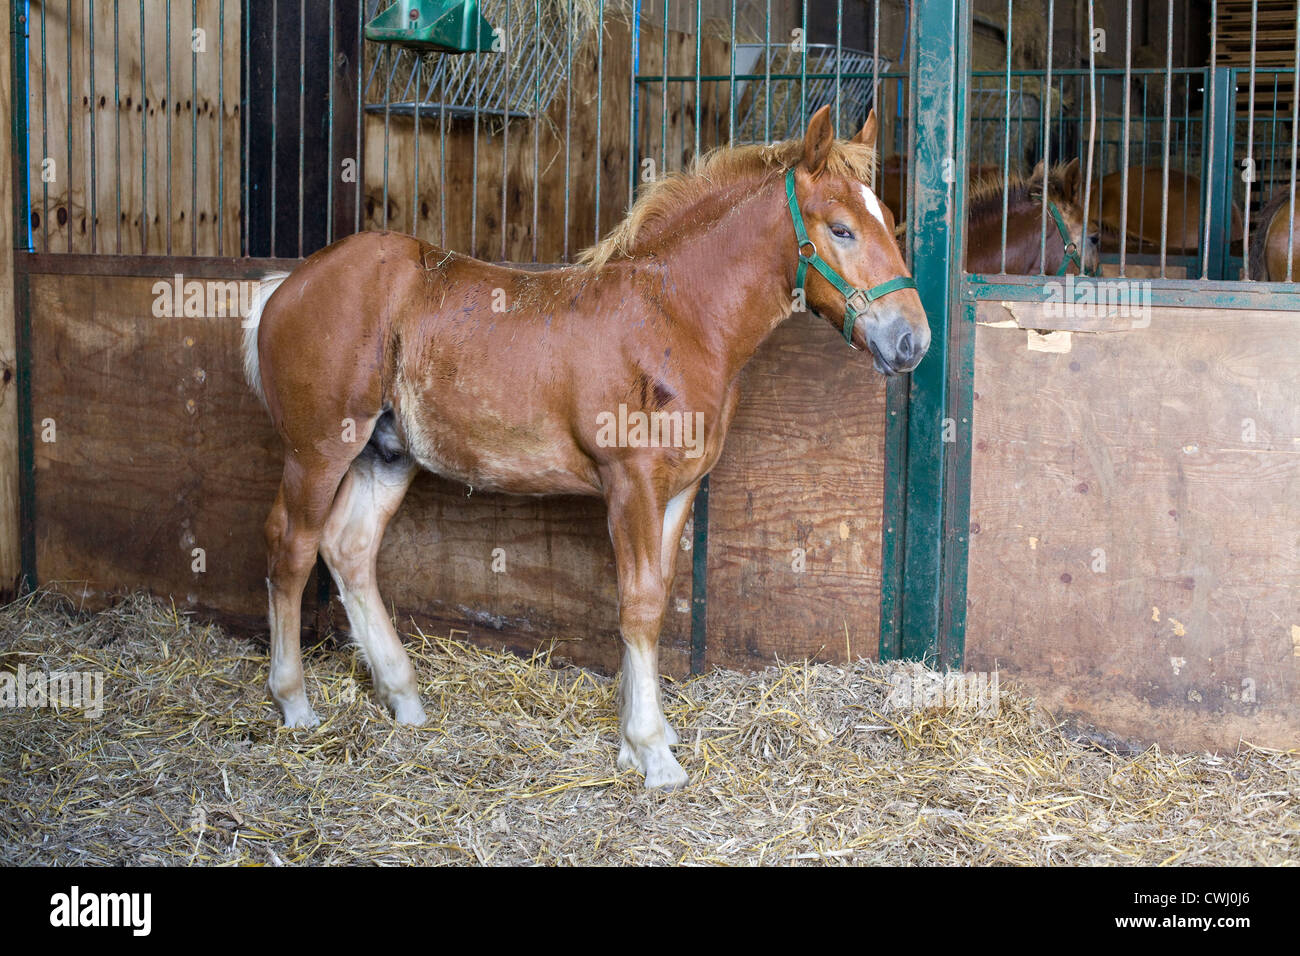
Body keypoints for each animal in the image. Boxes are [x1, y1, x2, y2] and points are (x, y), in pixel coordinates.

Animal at [244, 106, 930, 790]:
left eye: (889, 221)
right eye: (841, 229)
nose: (912, 341)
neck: (676, 318)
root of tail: (285, 284)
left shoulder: (678, 489)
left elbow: (655, 594)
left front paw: (637, 739)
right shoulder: (632, 484)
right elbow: (639, 605)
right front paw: (653, 752)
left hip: (386, 453)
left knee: (349, 547)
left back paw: (404, 698)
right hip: (318, 453)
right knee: (290, 546)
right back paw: (295, 703)